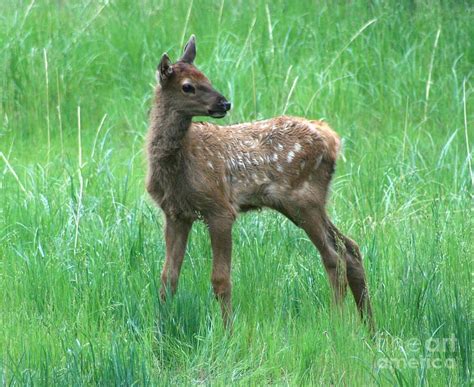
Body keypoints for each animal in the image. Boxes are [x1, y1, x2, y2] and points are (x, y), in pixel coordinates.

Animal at [145, 35, 374, 334]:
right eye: (188, 86)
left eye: (206, 77)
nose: (225, 103)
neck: (179, 165)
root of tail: (333, 138)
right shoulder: (176, 213)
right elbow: (168, 278)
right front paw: (161, 329)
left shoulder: (220, 208)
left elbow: (220, 280)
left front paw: (228, 333)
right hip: (303, 203)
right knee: (350, 248)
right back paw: (370, 328)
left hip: (304, 198)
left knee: (334, 255)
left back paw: (337, 322)